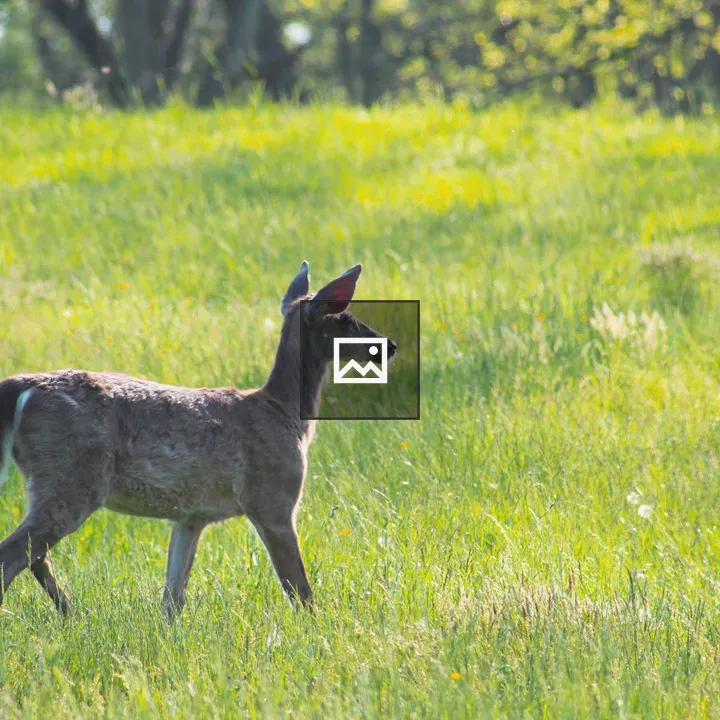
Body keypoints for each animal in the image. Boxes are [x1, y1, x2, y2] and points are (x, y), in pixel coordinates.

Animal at [0, 261, 396, 619]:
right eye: (346, 318)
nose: (390, 345)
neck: (284, 415)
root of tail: (23, 386)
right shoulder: (273, 498)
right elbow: (299, 590)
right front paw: (317, 631)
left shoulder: (191, 516)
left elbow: (173, 597)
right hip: (72, 476)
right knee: (15, 556)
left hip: (52, 480)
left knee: (35, 557)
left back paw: (73, 614)